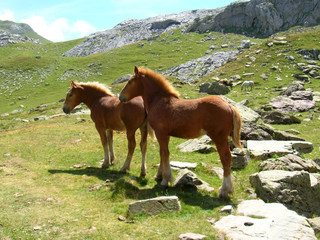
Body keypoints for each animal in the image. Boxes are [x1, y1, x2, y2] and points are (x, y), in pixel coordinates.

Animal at [120, 66, 242, 200]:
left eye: (130, 81)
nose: (121, 97)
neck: (159, 101)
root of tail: (229, 106)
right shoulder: (165, 134)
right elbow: (162, 153)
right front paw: (159, 176)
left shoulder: (160, 133)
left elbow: (165, 153)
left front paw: (166, 180)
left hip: (219, 138)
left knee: (226, 158)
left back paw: (225, 190)